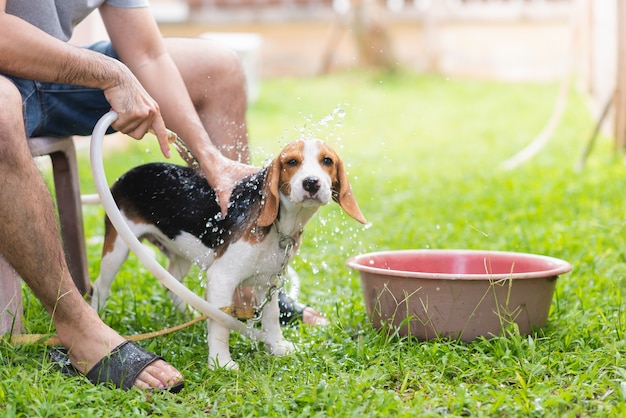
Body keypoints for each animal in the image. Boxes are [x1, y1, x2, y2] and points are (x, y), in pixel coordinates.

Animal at [92, 138, 366, 370]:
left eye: (327, 161)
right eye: (291, 162)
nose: (311, 182)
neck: (280, 226)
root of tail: (125, 176)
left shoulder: (268, 282)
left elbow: (272, 317)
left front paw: (276, 346)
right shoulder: (222, 278)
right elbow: (222, 323)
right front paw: (221, 363)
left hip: (181, 254)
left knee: (171, 284)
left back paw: (188, 313)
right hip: (118, 246)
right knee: (100, 286)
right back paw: (99, 318)